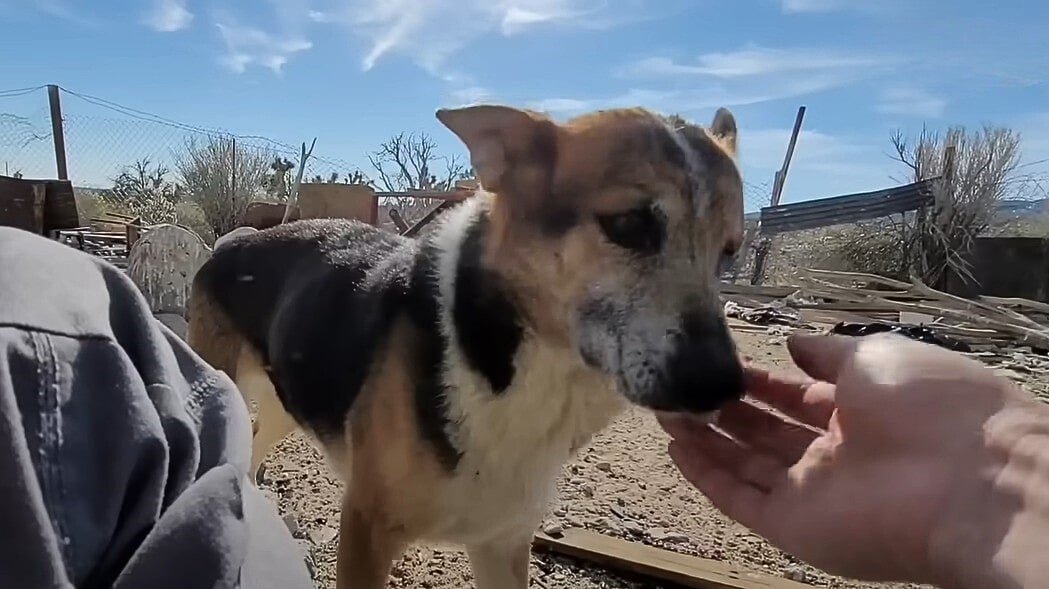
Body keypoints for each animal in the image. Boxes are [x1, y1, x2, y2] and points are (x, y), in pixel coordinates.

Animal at [186, 104, 746, 587]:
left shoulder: (504, 543)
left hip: (288, 399)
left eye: (729, 251)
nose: (721, 385)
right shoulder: (366, 529)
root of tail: (233, 241)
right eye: (629, 224)